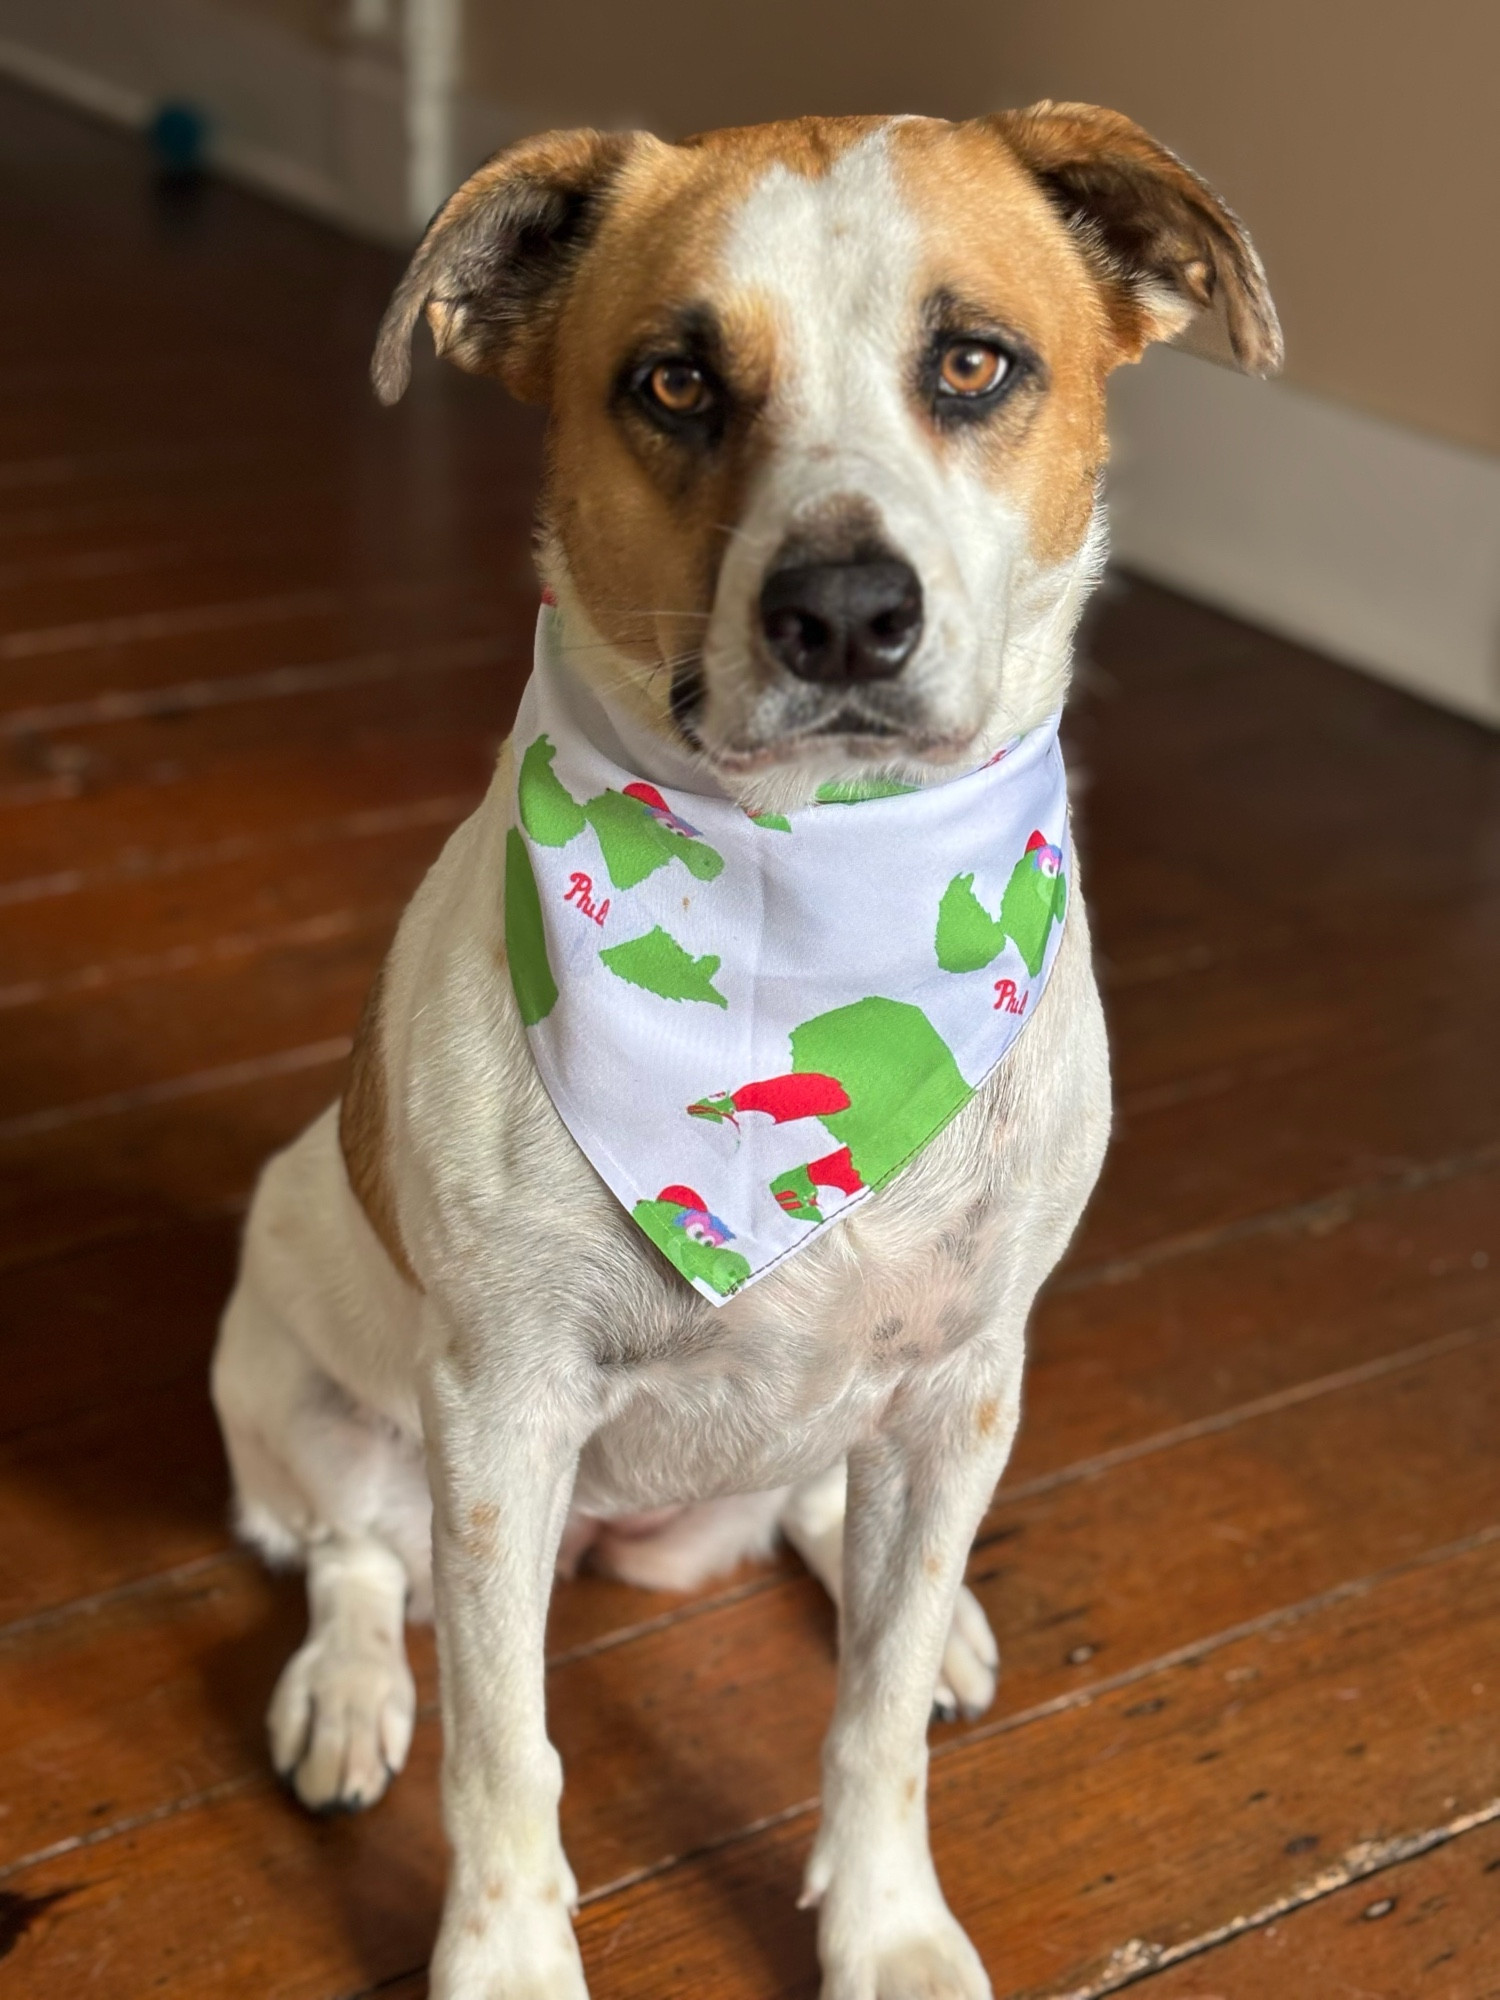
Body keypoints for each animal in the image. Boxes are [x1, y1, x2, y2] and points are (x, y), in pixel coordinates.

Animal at [212, 105, 1280, 2000]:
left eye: (975, 362)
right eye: (676, 382)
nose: (845, 612)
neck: (811, 891)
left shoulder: (962, 1381)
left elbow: (873, 1721)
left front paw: (889, 1924)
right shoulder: (499, 1422)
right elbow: (505, 1748)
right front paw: (502, 1960)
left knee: (823, 1531)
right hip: (285, 1374)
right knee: (350, 1561)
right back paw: (342, 1694)